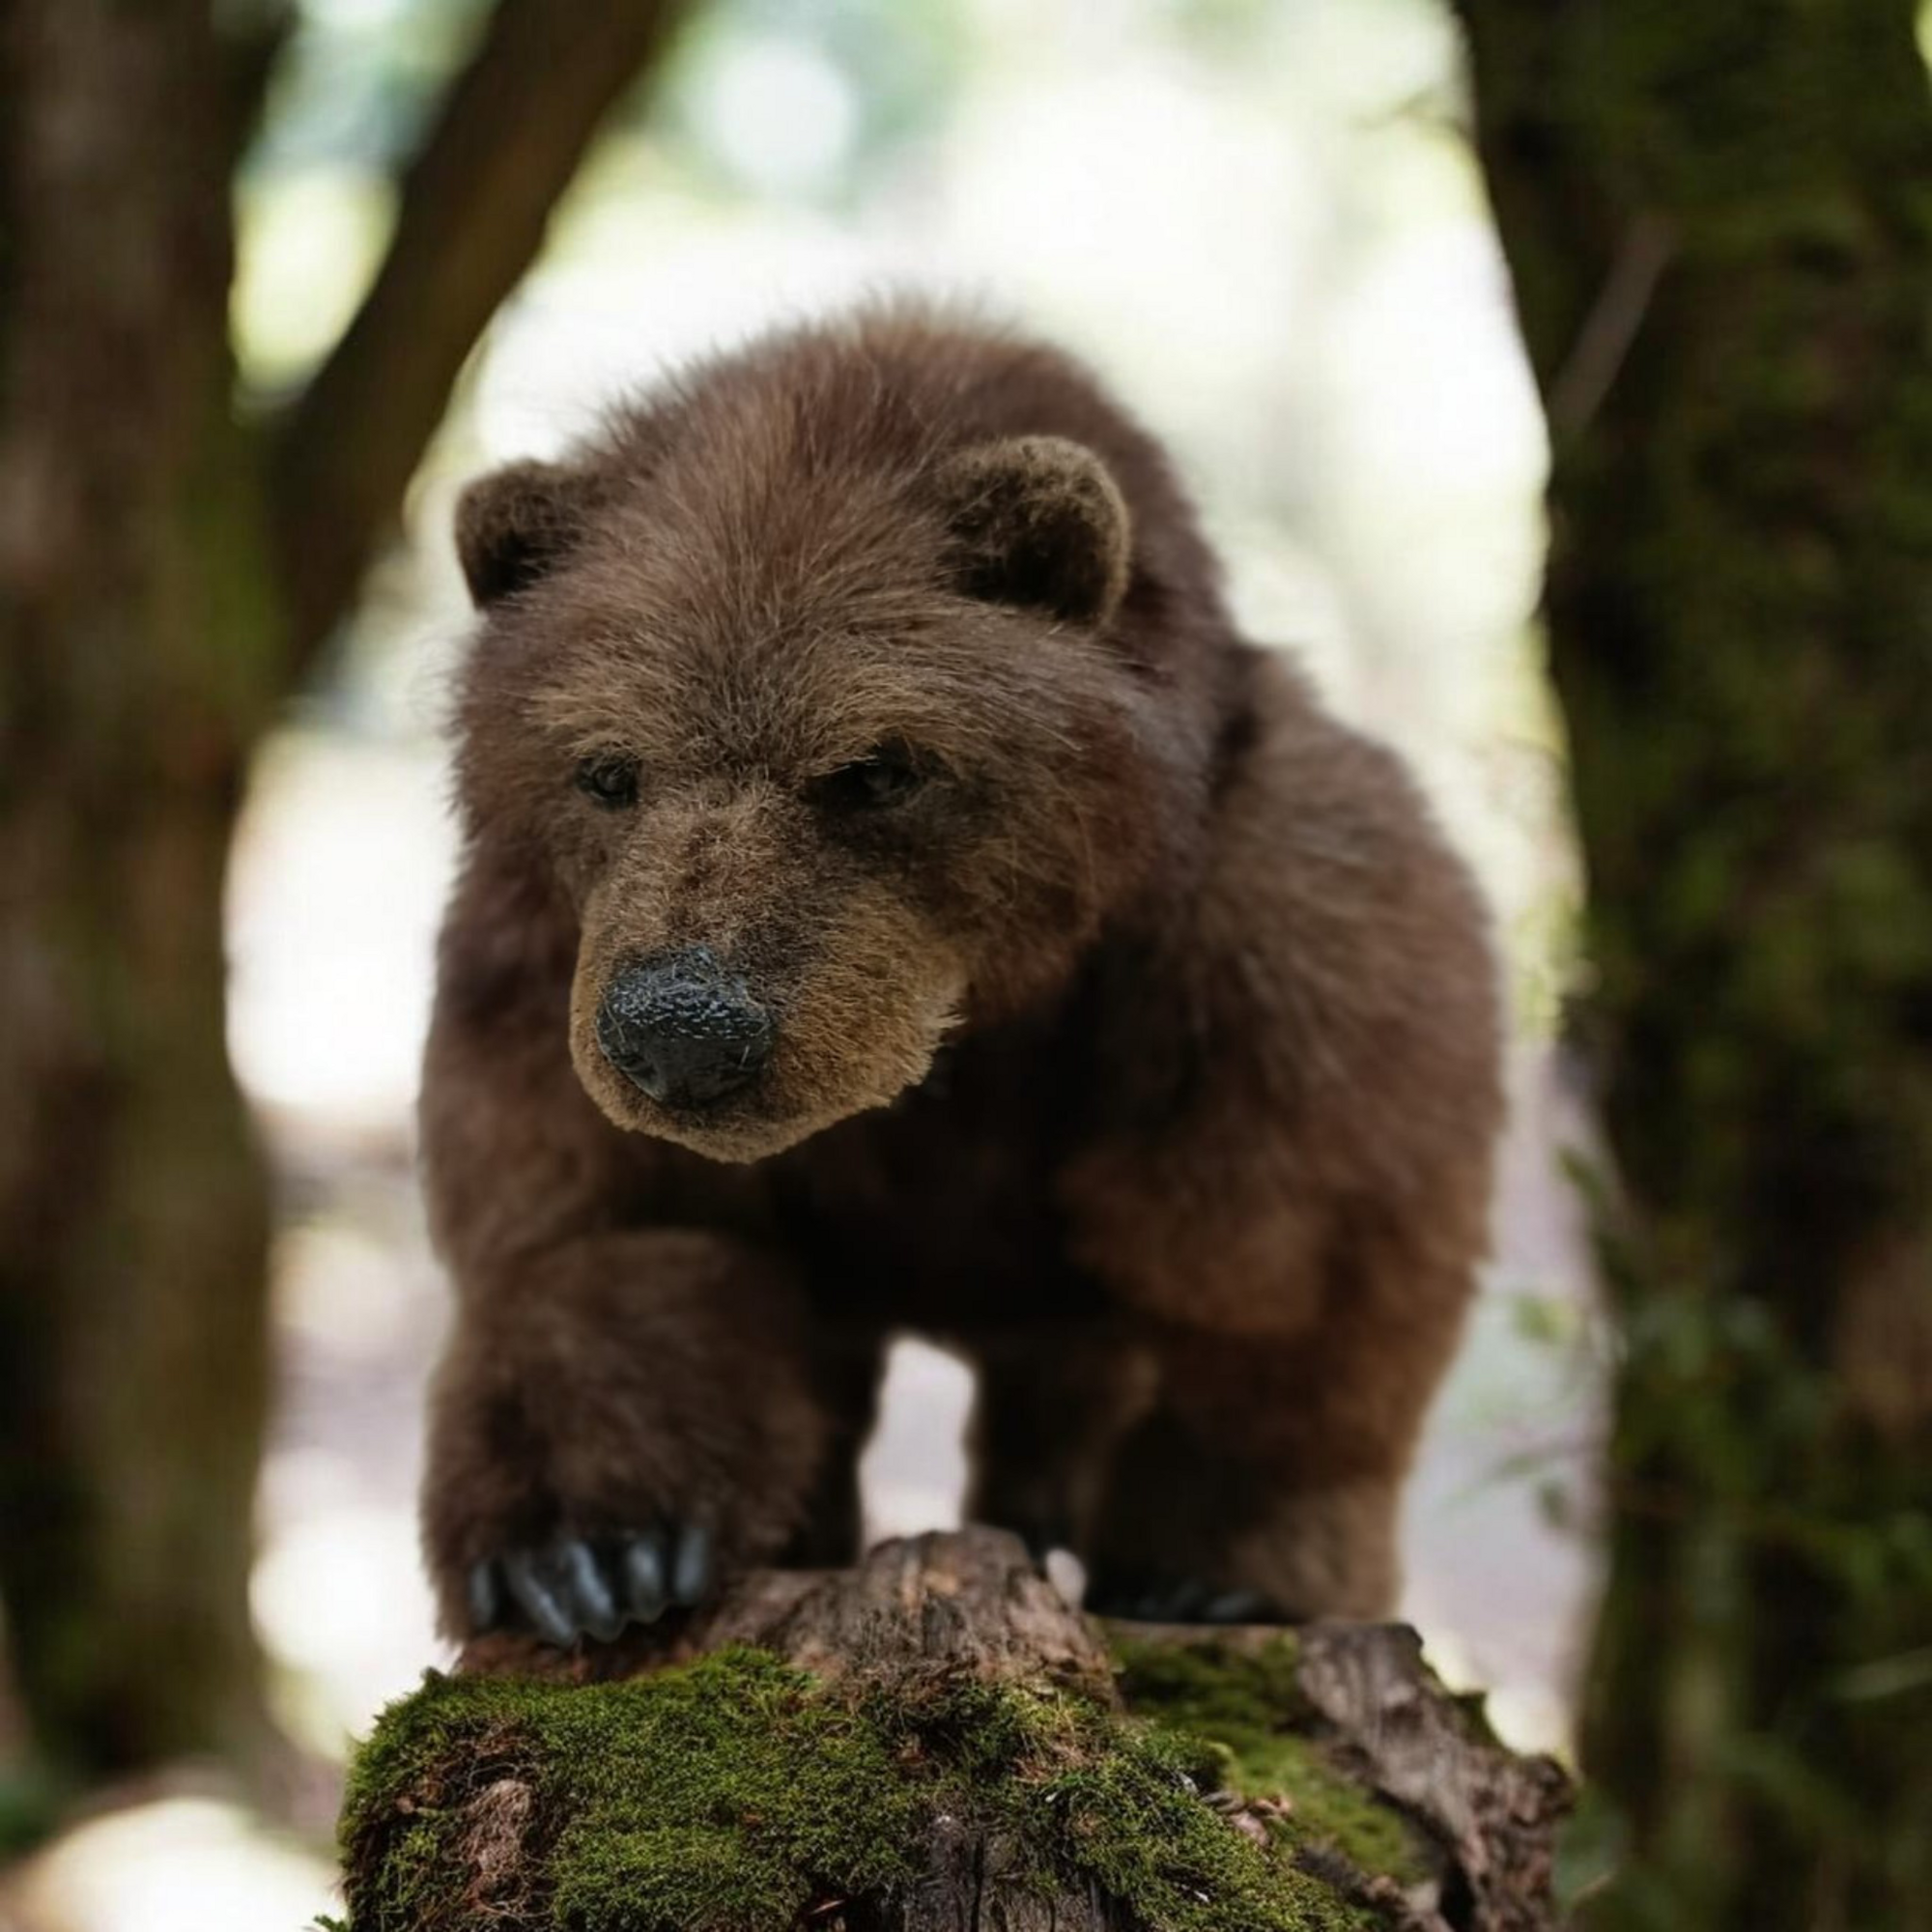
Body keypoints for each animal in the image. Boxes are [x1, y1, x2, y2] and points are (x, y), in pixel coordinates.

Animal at [418, 303, 1503, 1647]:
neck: (970, 1030)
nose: (680, 1028)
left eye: (879, 766)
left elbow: (1280, 1284)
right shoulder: (536, 964)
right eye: (607, 769)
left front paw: (1213, 1569)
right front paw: (589, 1550)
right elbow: (617, 1236)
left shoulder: (1282, 953)